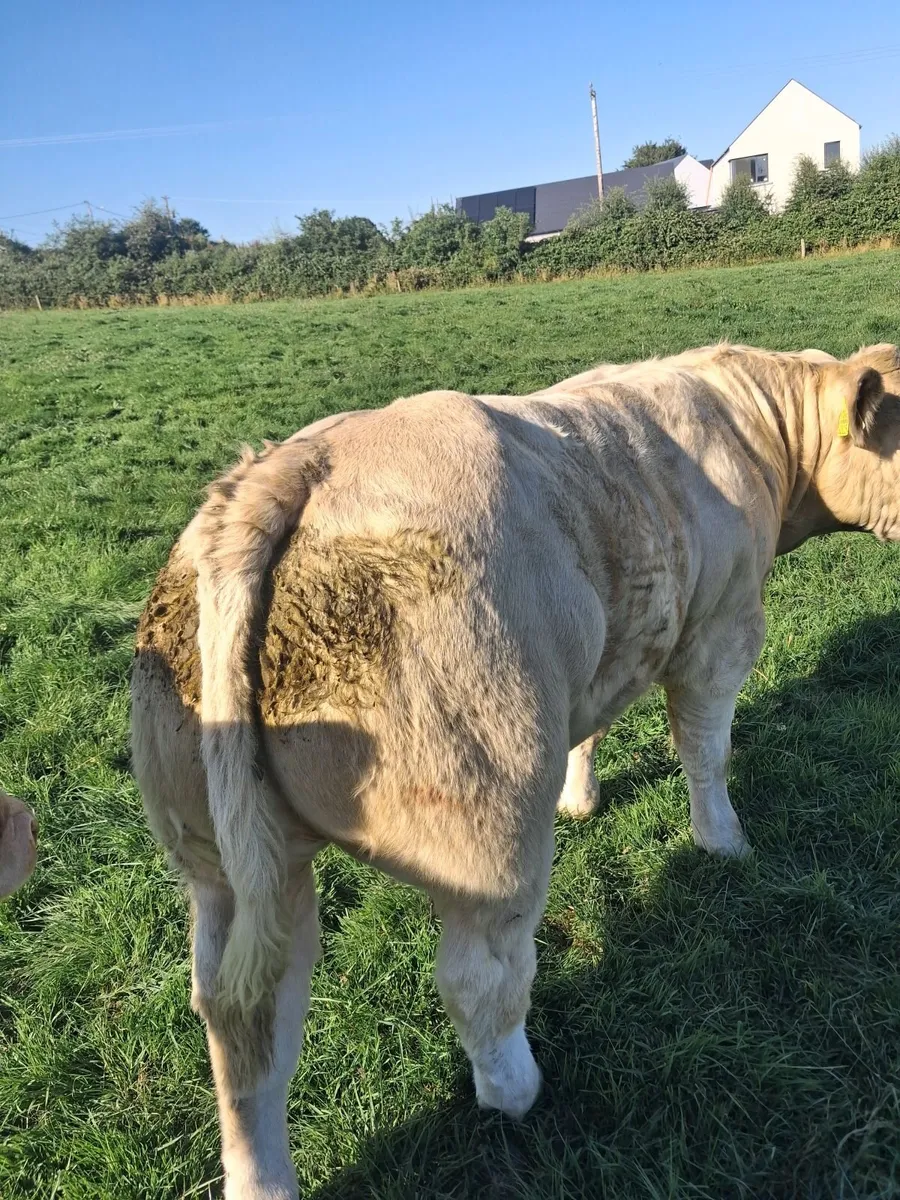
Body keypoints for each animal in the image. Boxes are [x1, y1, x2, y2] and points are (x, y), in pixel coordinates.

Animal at [131, 341, 900, 1199]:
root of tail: (291, 464)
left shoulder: (612, 643)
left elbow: (593, 730)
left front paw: (581, 797)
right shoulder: (721, 628)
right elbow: (706, 748)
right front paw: (723, 842)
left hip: (222, 862)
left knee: (245, 1019)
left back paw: (261, 1175)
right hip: (486, 829)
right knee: (479, 977)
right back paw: (517, 1093)